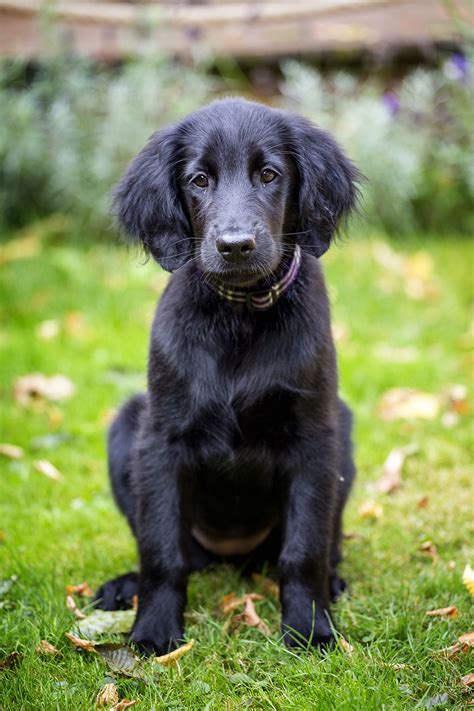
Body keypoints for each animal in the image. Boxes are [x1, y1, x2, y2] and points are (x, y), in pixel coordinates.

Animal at [96, 97, 360, 652]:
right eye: (199, 180)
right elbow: (161, 552)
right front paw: (153, 633)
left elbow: (303, 550)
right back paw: (125, 586)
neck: (239, 315)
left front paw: (309, 629)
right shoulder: (161, 439)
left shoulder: (314, 437)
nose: (235, 245)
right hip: (128, 424)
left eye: (269, 174)